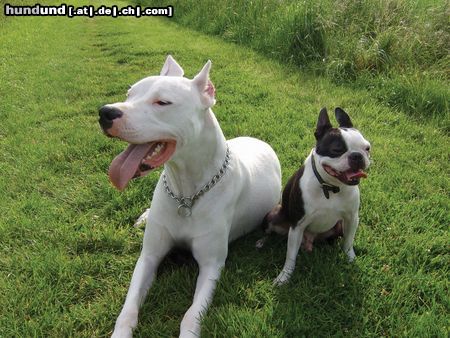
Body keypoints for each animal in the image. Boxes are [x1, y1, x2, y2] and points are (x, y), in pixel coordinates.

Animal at [99, 56, 282, 336]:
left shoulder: (212, 266)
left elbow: (191, 315)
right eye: (129, 94)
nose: (105, 112)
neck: (187, 191)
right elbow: (128, 306)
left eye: (162, 102)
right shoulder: (148, 256)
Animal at [262, 107, 370, 284]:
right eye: (337, 150)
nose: (357, 156)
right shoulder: (297, 225)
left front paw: (351, 259)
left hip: (339, 225)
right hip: (273, 214)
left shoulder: (351, 218)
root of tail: (311, 239)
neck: (330, 187)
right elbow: (290, 256)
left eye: (367, 148)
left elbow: (348, 242)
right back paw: (261, 243)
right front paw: (284, 277)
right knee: (268, 232)